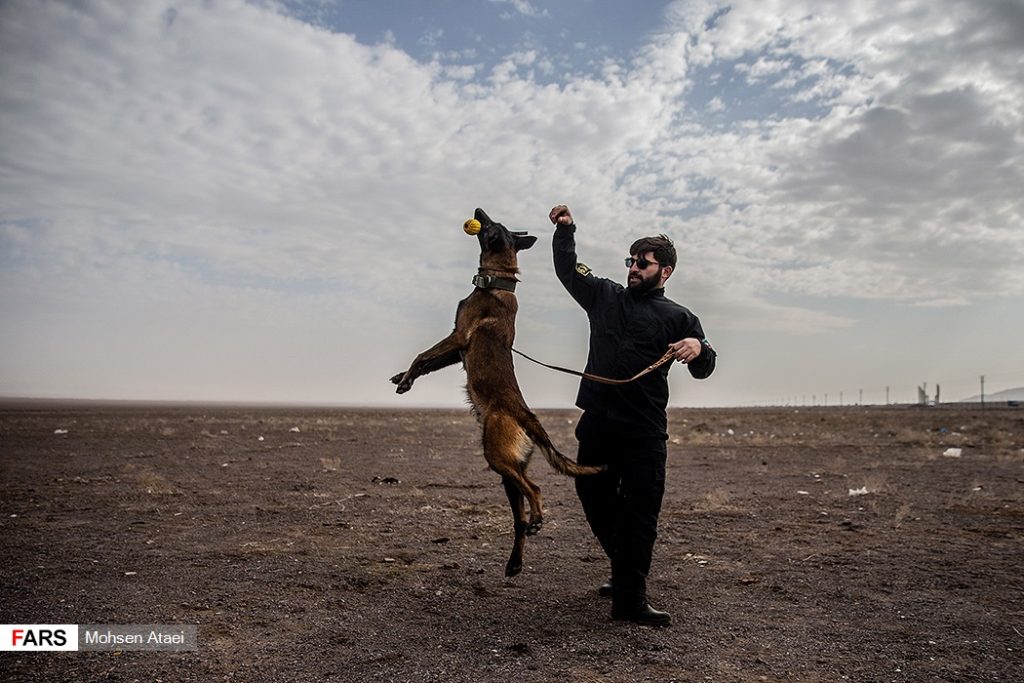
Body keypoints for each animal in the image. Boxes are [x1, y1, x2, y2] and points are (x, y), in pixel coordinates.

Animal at [389, 208, 598, 577]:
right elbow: (427, 363)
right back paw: (514, 562)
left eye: (489, 225)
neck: (497, 281)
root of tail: (527, 417)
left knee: (535, 489)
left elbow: (421, 356)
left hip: (496, 456)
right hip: (509, 473)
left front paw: (405, 381)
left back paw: (539, 517)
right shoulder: (456, 350)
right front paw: (404, 377)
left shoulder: (458, 336)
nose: (477, 210)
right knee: (519, 517)